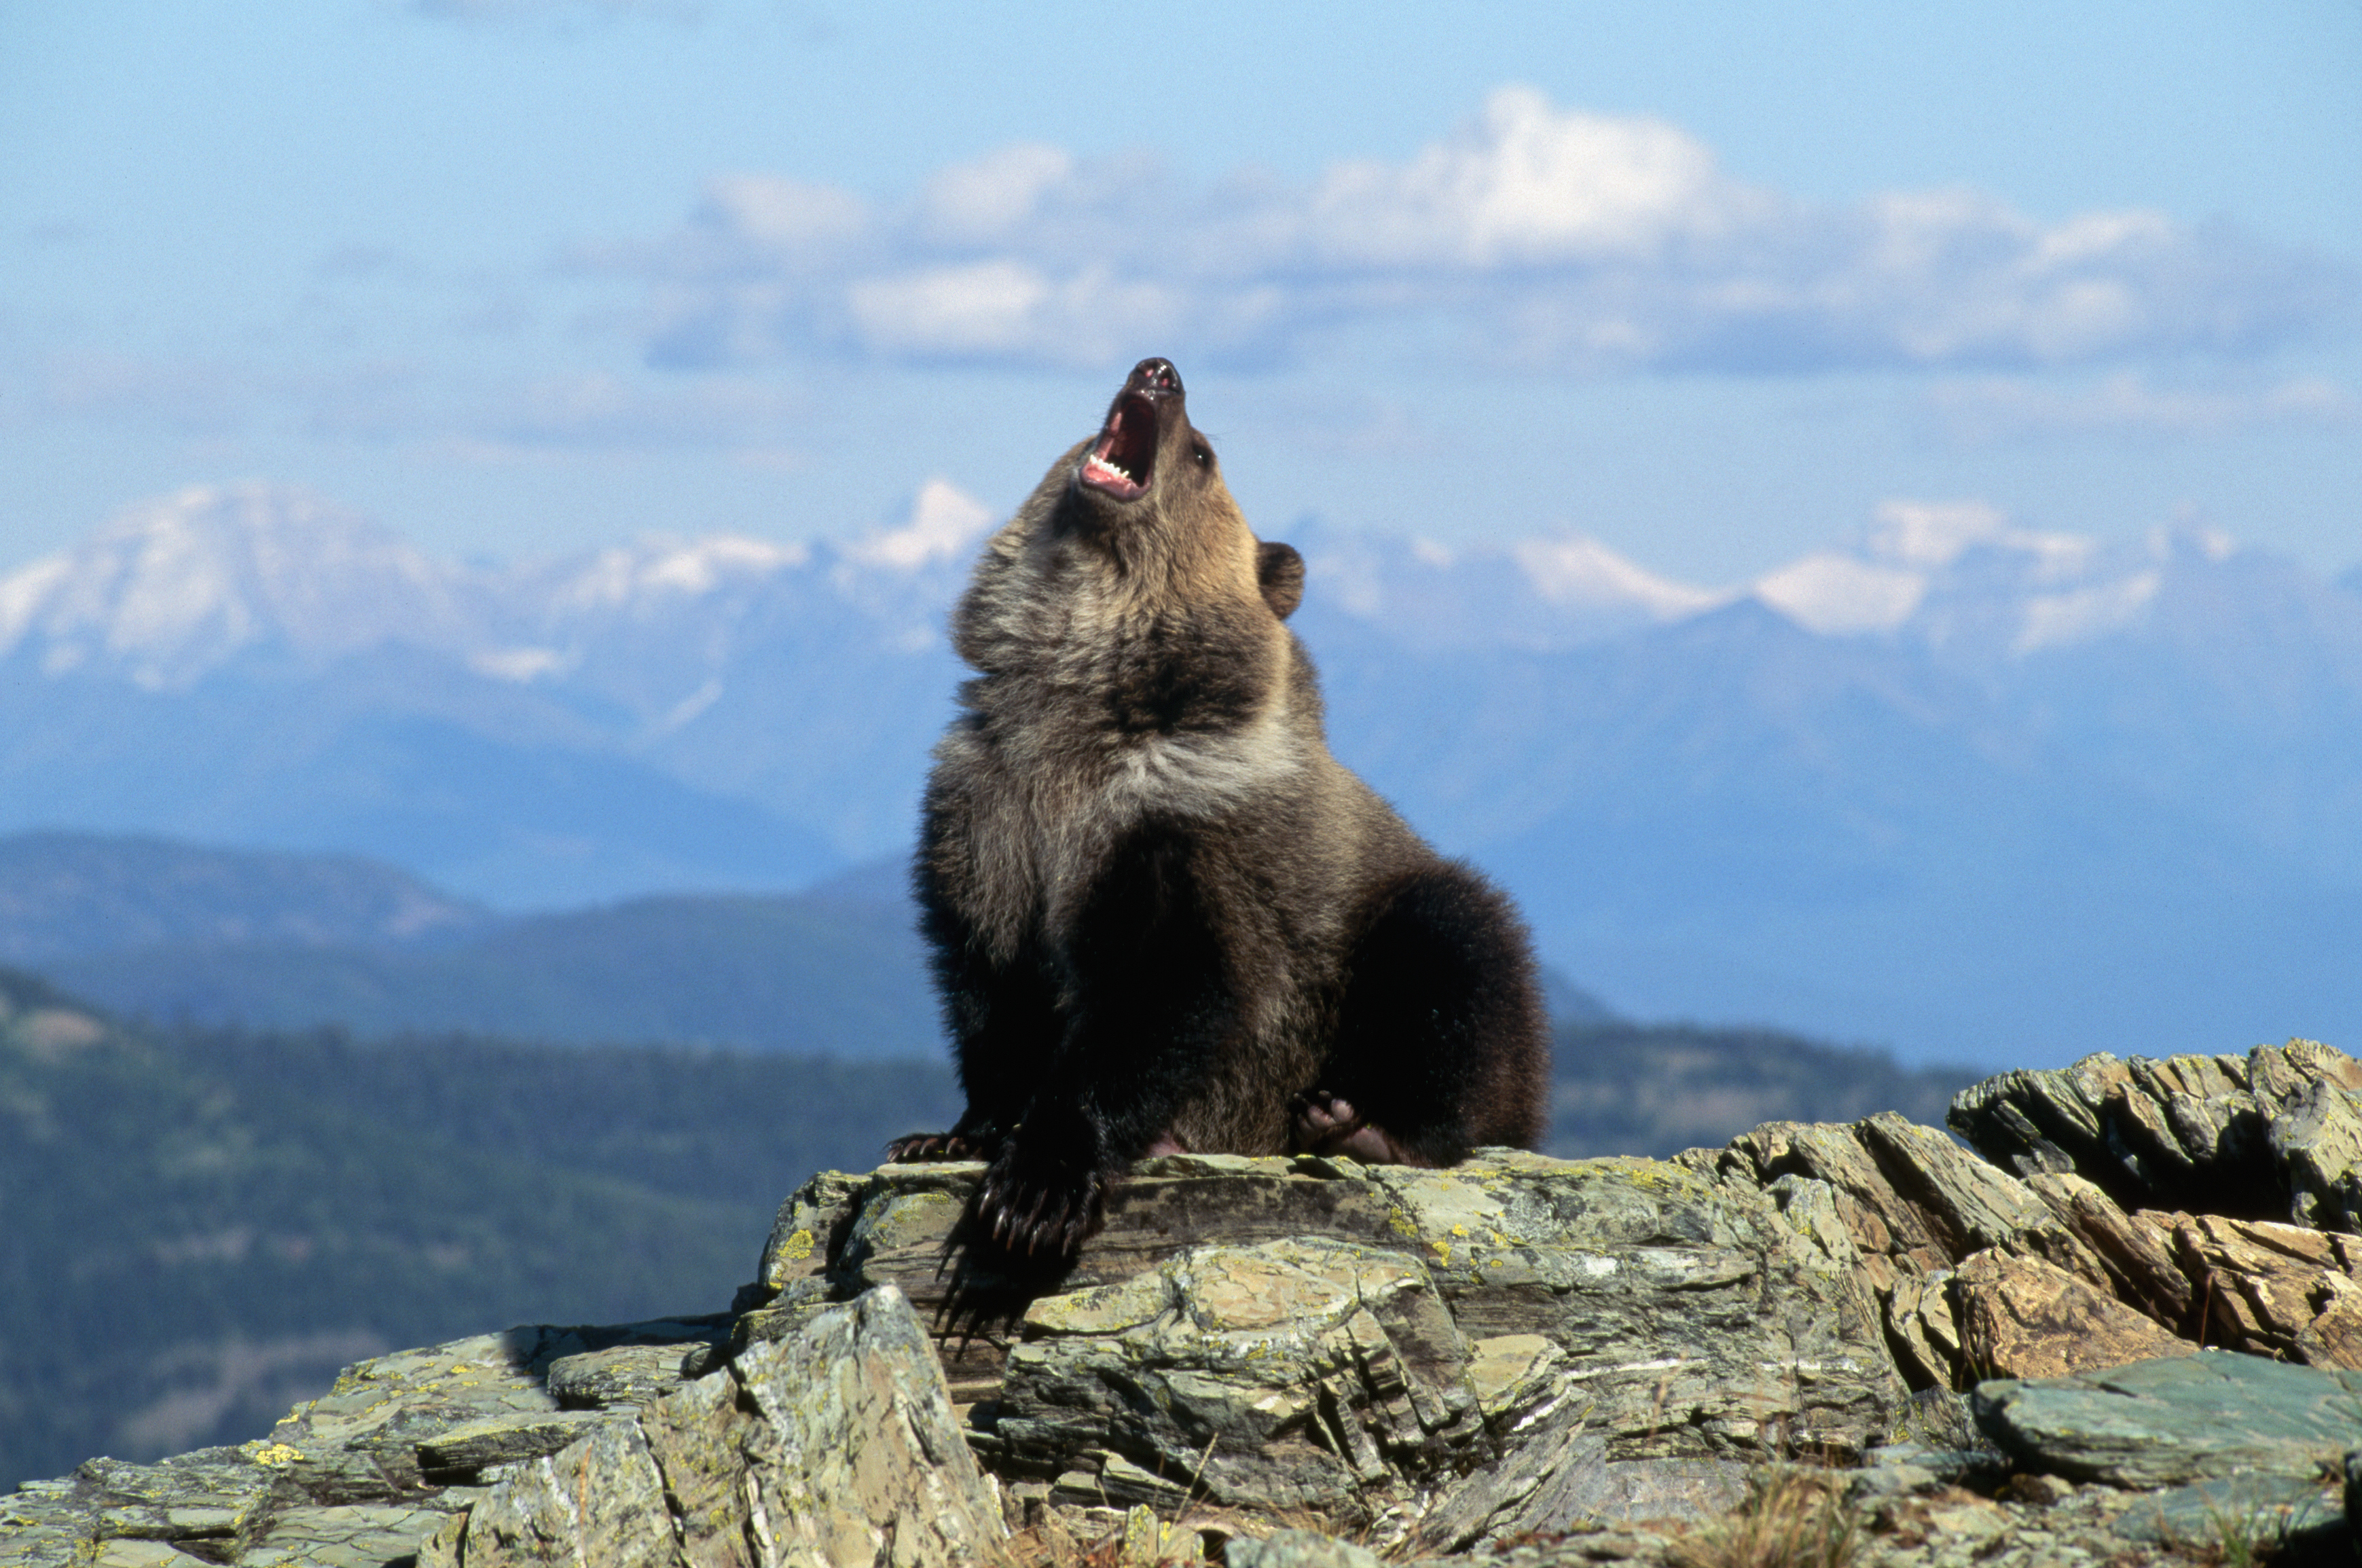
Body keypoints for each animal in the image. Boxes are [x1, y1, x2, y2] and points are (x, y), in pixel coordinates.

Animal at [888, 359, 1549, 1265]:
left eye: (1202, 453)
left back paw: (1367, 1125)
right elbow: (986, 977)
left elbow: (1165, 983)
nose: (1159, 372)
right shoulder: (987, 805)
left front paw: (1038, 1187)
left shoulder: (1182, 825)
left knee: (1458, 962)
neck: (1076, 707)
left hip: (1388, 936)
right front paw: (955, 1131)